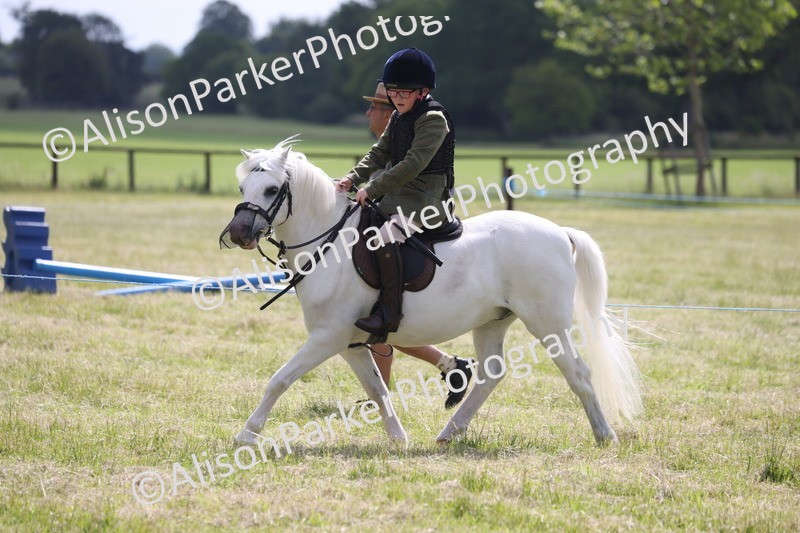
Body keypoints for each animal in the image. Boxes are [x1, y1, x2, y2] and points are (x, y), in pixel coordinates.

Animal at [222, 138, 642, 447]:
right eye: (243, 187)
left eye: (272, 189)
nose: (239, 233)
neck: (330, 242)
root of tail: (559, 232)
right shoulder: (350, 344)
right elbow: (377, 388)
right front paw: (398, 438)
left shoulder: (328, 338)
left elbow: (279, 379)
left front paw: (247, 435)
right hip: (492, 322)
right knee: (491, 375)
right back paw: (449, 432)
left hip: (548, 324)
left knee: (578, 373)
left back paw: (605, 436)